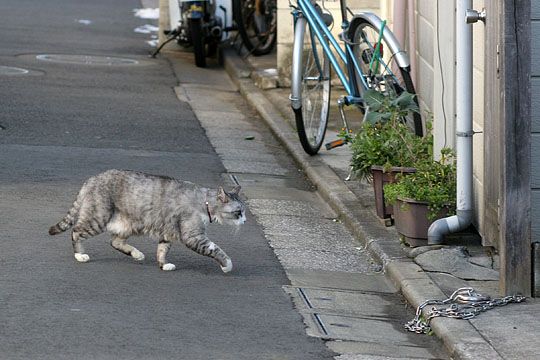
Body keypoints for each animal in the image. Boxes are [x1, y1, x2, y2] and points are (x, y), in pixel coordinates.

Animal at [47, 169, 246, 272]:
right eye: (238, 212)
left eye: (244, 212)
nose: (244, 221)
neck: (204, 201)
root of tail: (91, 179)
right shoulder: (194, 236)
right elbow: (215, 249)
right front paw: (227, 265)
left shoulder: (168, 232)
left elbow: (162, 250)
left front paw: (163, 265)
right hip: (98, 218)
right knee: (76, 232)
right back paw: (80, 255)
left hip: (128, 224)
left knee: (115, 241)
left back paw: (136, 254)